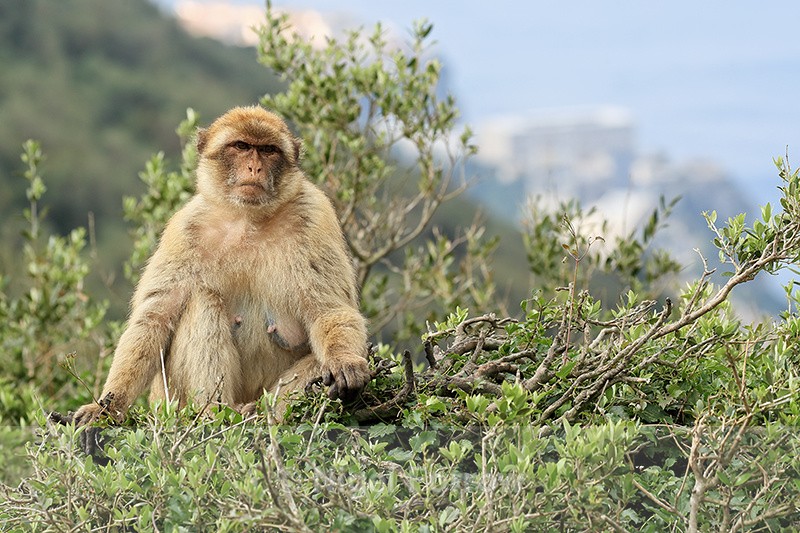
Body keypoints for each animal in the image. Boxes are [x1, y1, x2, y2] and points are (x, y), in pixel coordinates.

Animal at [73, 106, 370, 425]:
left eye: (268, 150)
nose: (255, 168)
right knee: (201, 301)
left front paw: (345, 363)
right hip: (171, 401)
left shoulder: (315, 215)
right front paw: (106, 407)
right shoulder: (185, 229)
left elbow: (331, 311)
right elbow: (153, 318)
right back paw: (217, 414)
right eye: (241, 146)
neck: (248, 218)